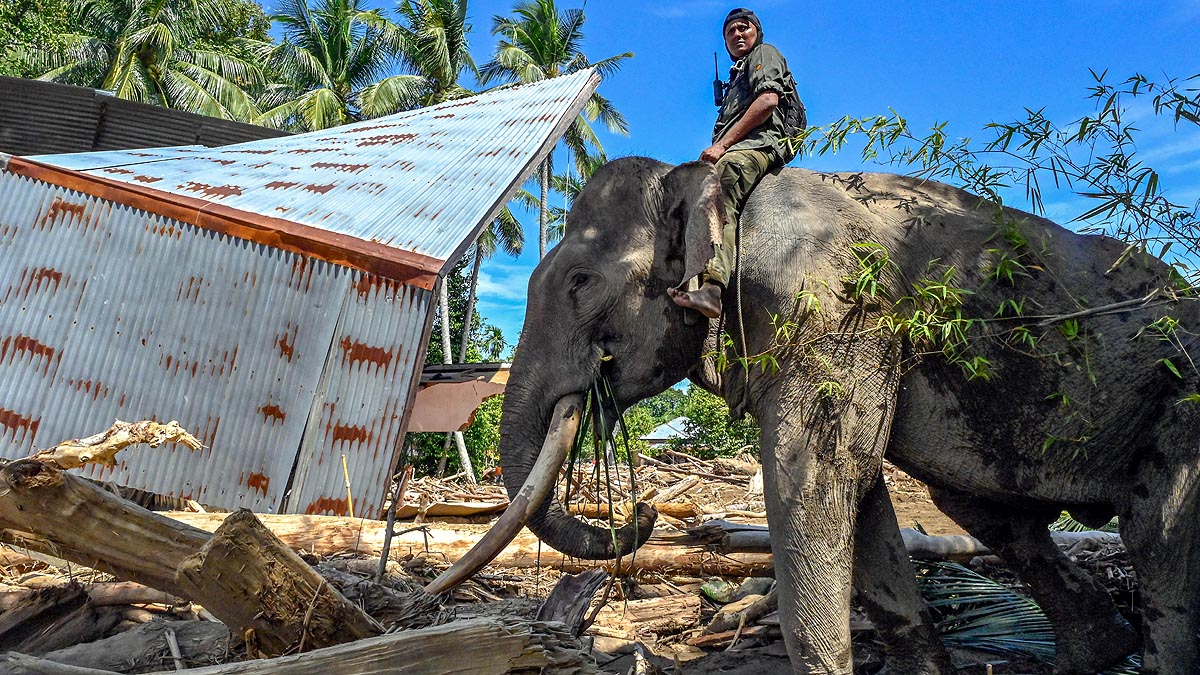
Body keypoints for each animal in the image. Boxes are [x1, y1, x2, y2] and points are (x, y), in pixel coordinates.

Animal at [461, 157, 1199, 674]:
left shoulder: (835, 314)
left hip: (1181, 397)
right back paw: (1098, 654)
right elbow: (859, 490)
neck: (718, 192)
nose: (642, 513)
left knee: (1157, 533)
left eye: (580, 282)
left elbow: (812, 479)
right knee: (984, 511)